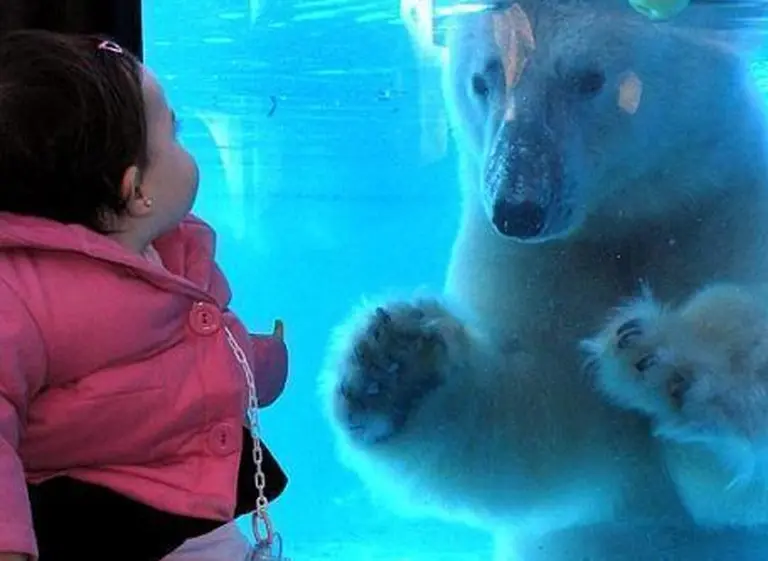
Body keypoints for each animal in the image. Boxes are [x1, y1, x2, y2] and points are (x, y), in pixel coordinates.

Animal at [319, 1, 768, 560]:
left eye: (589, 78)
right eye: (482, 80)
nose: (516, 210)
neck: (630, 213)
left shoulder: (724, 203)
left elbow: (725, 493)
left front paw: (668, 355)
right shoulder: (538, 260)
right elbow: (546, 431)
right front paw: (397, 366)